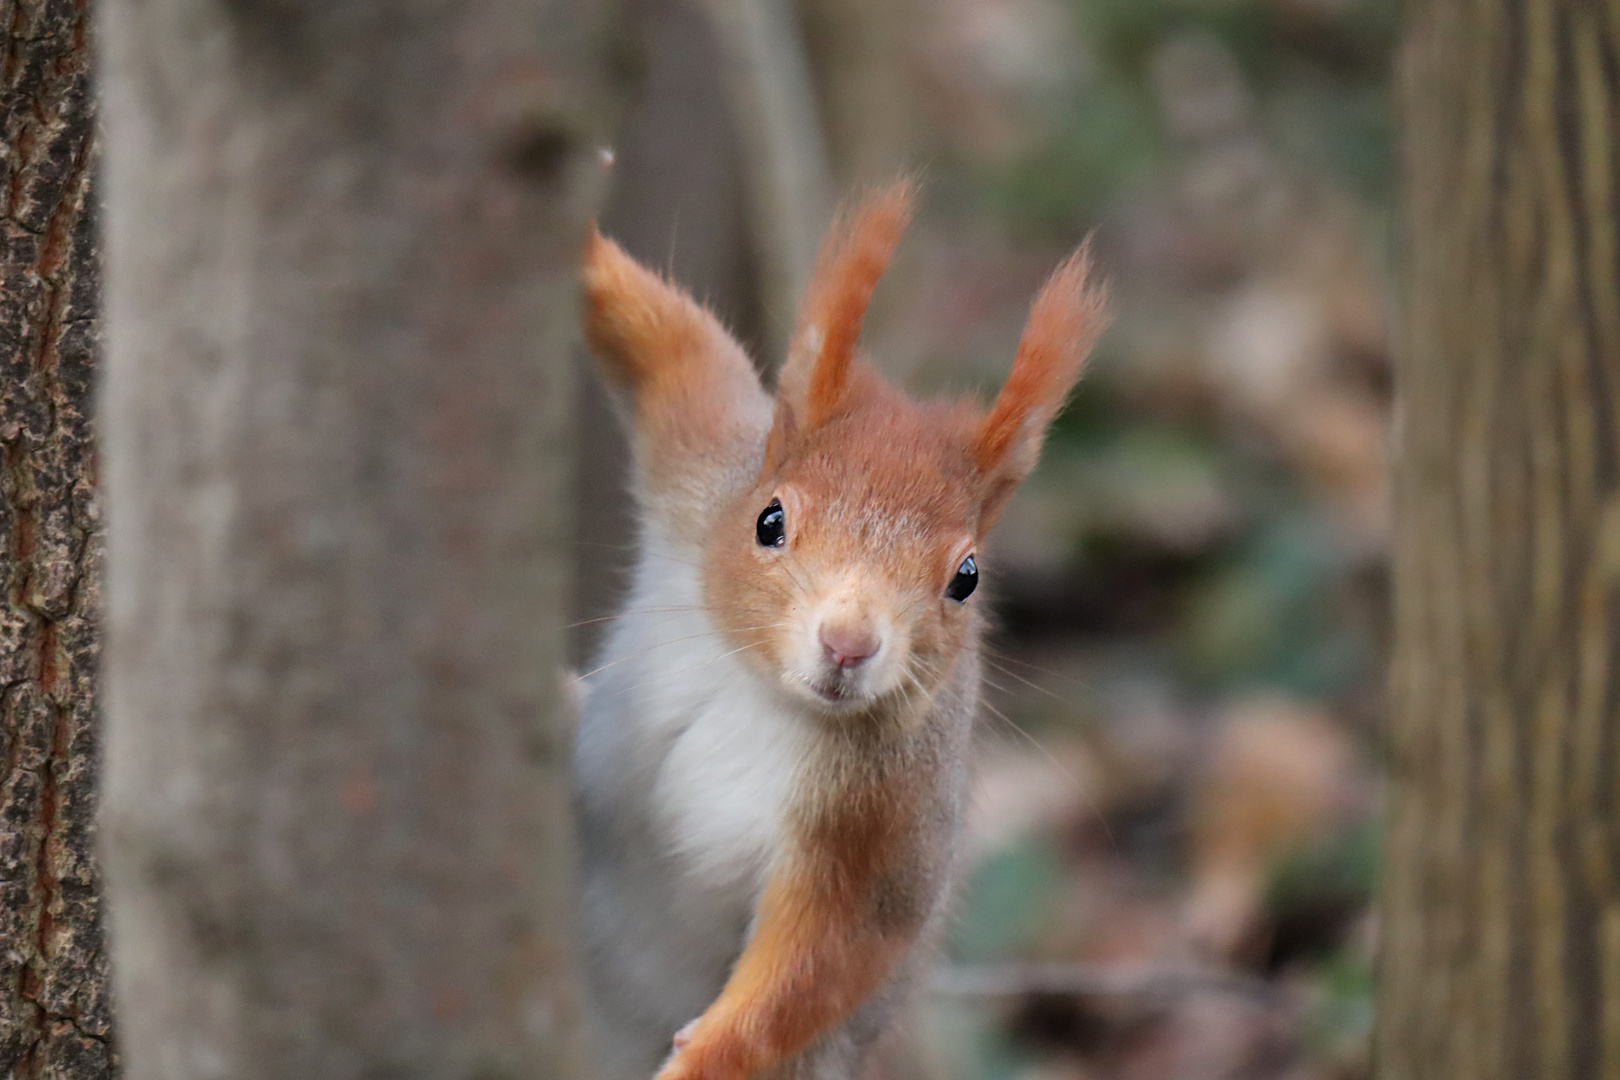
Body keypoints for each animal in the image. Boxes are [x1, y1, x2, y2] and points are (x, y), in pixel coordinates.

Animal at [573, 183, 1114, 1080]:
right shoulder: (703, 461)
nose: (849, 644)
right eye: (768, 520)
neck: (761, 690)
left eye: (966, 577)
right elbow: (671, 343)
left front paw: (700, 1060)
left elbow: (824, 958)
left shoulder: (885, 816)